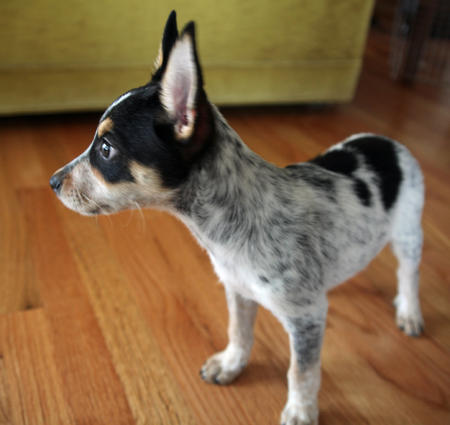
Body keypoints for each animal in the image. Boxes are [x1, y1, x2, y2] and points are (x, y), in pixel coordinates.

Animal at [50, 11, 426, 422]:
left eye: (105, 149)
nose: (52, 182)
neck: (231, 229)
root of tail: (389, 142)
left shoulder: (306, 318)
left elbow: (301, 370)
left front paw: (300, 409)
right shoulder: (239, 291)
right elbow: (239, 333)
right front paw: (232, 365)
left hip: (409, 234)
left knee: (407, 274)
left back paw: (409, 311)